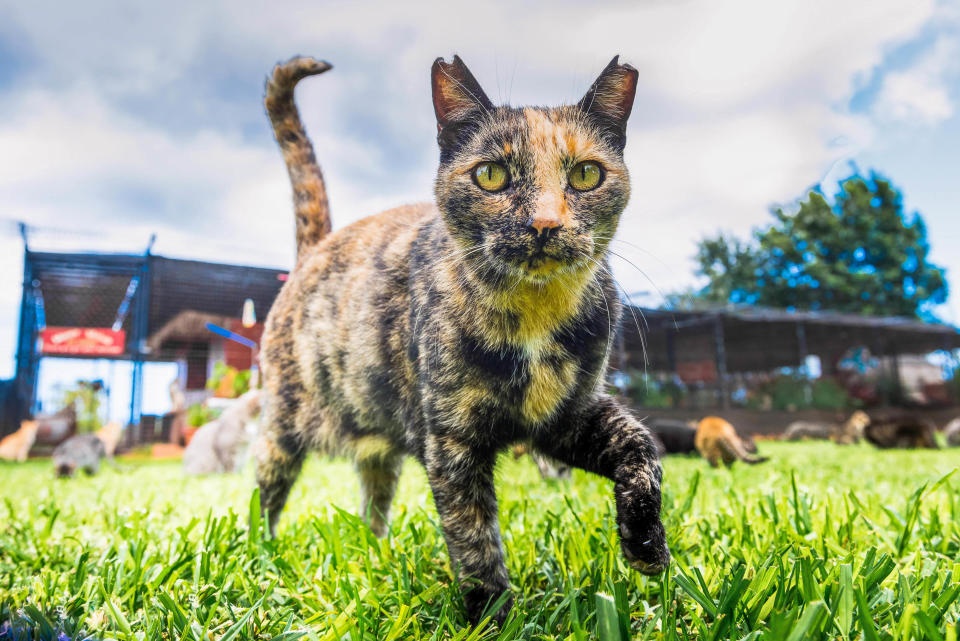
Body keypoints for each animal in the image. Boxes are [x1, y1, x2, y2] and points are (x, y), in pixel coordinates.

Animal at [258, 52, 672, 624]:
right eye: (491, 174)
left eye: (587, 174)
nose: (545, 223)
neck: (534, 319)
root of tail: (317, 249)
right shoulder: (452, 442)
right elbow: (475, 541)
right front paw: (495, 618)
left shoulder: (566, 416)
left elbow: (642, 450)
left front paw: (648, 545)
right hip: (284, 427)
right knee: (266, 494)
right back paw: (261, 554)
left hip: (377, 440)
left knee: (373, 494)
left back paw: (376, 552)